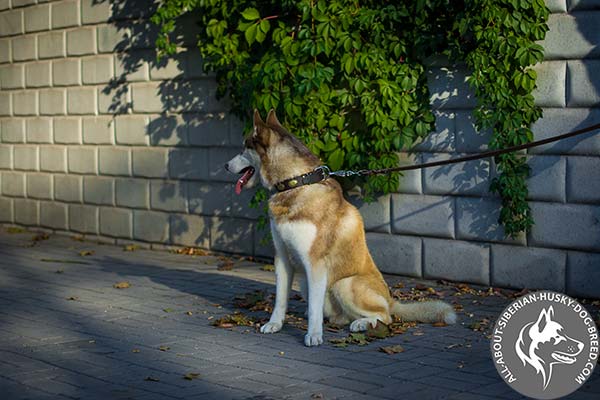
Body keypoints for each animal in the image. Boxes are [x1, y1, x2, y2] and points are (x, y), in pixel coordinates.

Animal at [225, 110, 454, 346]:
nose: (225, 165)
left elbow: (314, 308)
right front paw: (274, 324)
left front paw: (314, 335)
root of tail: (391, 300)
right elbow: (280, 299)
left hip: (344, 284)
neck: (296, 182)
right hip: (306, 283)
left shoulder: (315, 263)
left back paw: (362, 324)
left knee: (384, 316)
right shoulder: (282, 258)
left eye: (244, 147)